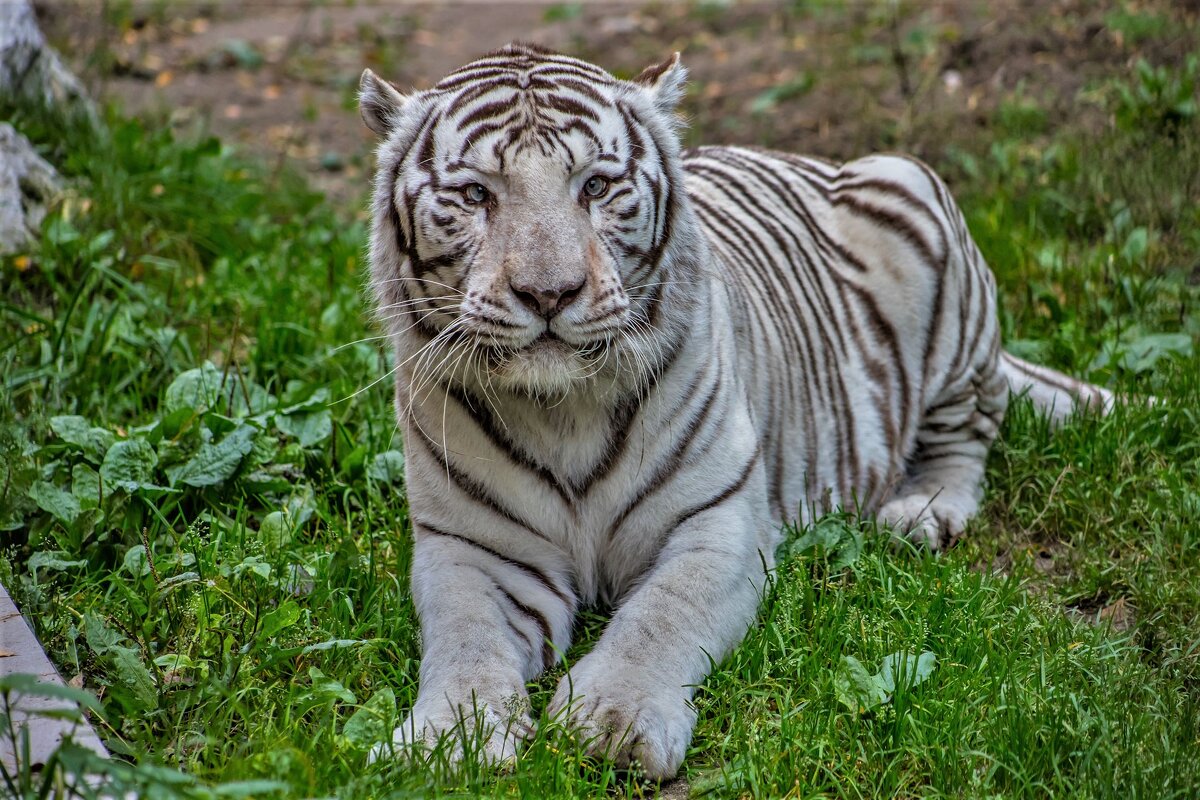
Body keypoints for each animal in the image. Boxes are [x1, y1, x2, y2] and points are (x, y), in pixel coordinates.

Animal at [357, 43, 1113, 782]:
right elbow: (466, 640)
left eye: (594, 187)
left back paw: (923, 510)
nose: (550, 293)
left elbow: (660, 620)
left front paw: (615, 723)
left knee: (970, 429)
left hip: (934, 260)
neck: (560, 407)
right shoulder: (472, 548)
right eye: (476, 195)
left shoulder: (715, 523)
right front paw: (444, 740)